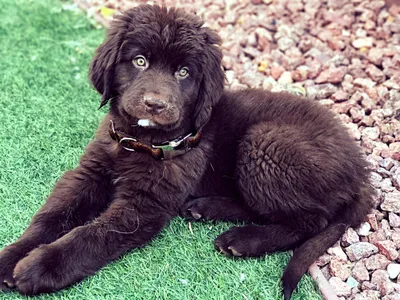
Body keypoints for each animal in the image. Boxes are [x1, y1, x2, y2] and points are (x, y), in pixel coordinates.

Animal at [0, 3, 374, 298]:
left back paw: (244, 239)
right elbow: (52, 216)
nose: (155, 104)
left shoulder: (143, 206)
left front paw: (41, 267)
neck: (141, 143)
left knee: (310, 220)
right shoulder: (88, 173)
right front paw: (11, 257)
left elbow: (91, 235)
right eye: (139, 61)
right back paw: (206, 209)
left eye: (183, 72)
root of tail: (361, 173)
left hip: (264, 142)